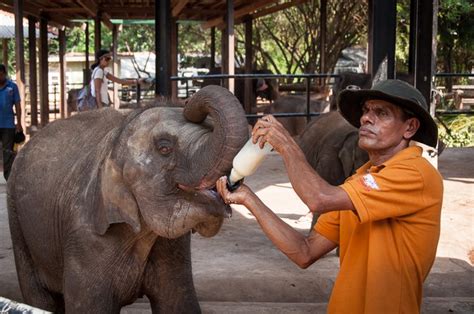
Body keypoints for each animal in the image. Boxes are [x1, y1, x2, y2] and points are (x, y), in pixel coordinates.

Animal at [7, 84, 250, 312]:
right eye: (164, 148)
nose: (188, 101)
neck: (116, 142)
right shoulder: (85, 239)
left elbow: (179, 304)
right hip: (16, 219)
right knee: (38, 297)